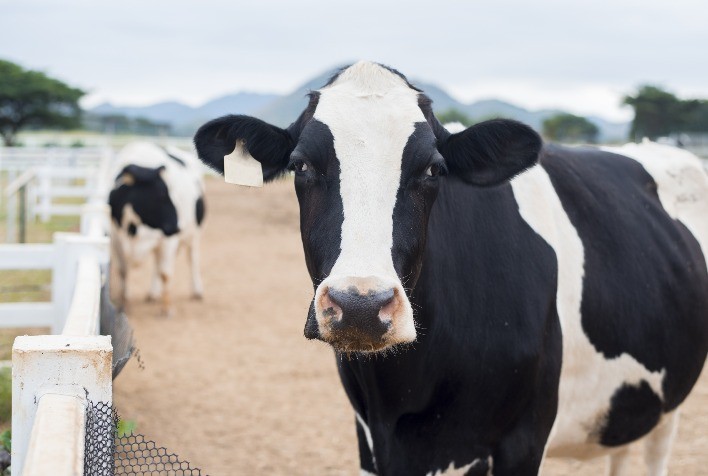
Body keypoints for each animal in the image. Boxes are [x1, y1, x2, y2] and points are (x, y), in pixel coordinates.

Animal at [108, 141, 205, 316]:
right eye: (161, 194)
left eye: (170, 193)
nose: (178, 227)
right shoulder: (116, 239)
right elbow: (123, 272)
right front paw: (124, 305)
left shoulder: (168, 240)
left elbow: (165, 273)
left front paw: (167, 309)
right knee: (156, 264)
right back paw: (153, 293)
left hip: (195, 233)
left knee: (192, 258)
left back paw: (197, 291)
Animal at [193, 62, 708, 475]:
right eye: (301, 165)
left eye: (432, 170)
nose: (361, 306)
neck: (407, 393)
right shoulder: (371, 440)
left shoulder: (524, 438)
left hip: (669, 402)